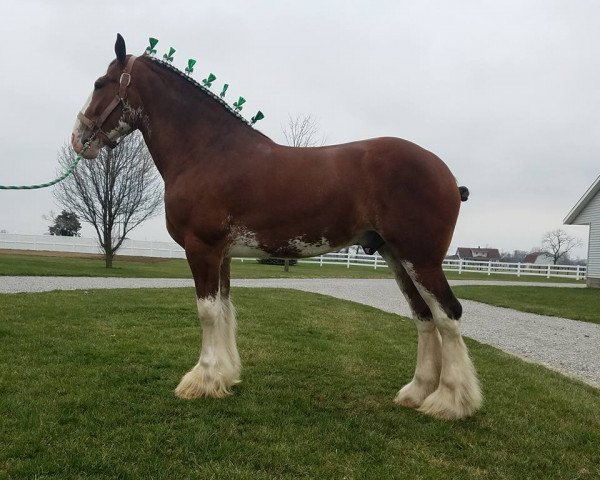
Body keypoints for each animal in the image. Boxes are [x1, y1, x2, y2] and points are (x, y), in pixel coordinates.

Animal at [71, 34, 482, 420]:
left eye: (99, 83)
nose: (78, 139)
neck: (206, 152)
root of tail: (448, 177)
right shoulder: (221, 253)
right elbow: (224, 309)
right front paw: (224, 377)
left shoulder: (201, 247)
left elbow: (207, 312)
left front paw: (201, 380)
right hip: (396, 257)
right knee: (424, 316)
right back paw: (416, 392)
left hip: (421, 259)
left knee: (447, 314)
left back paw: (449, 402)